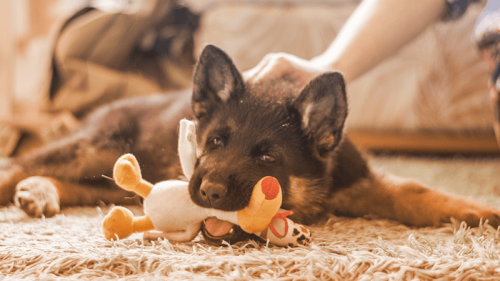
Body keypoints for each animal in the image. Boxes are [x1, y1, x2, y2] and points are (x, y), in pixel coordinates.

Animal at [0, 44, 500, 228]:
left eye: (267, 158)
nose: (207, 192)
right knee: (17, 165)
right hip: (96, 146)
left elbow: (417, 192)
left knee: (79, 187)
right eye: (214, 143)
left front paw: (478, 210)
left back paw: (42, 192)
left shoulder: (362, 183)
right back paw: (32, 187)